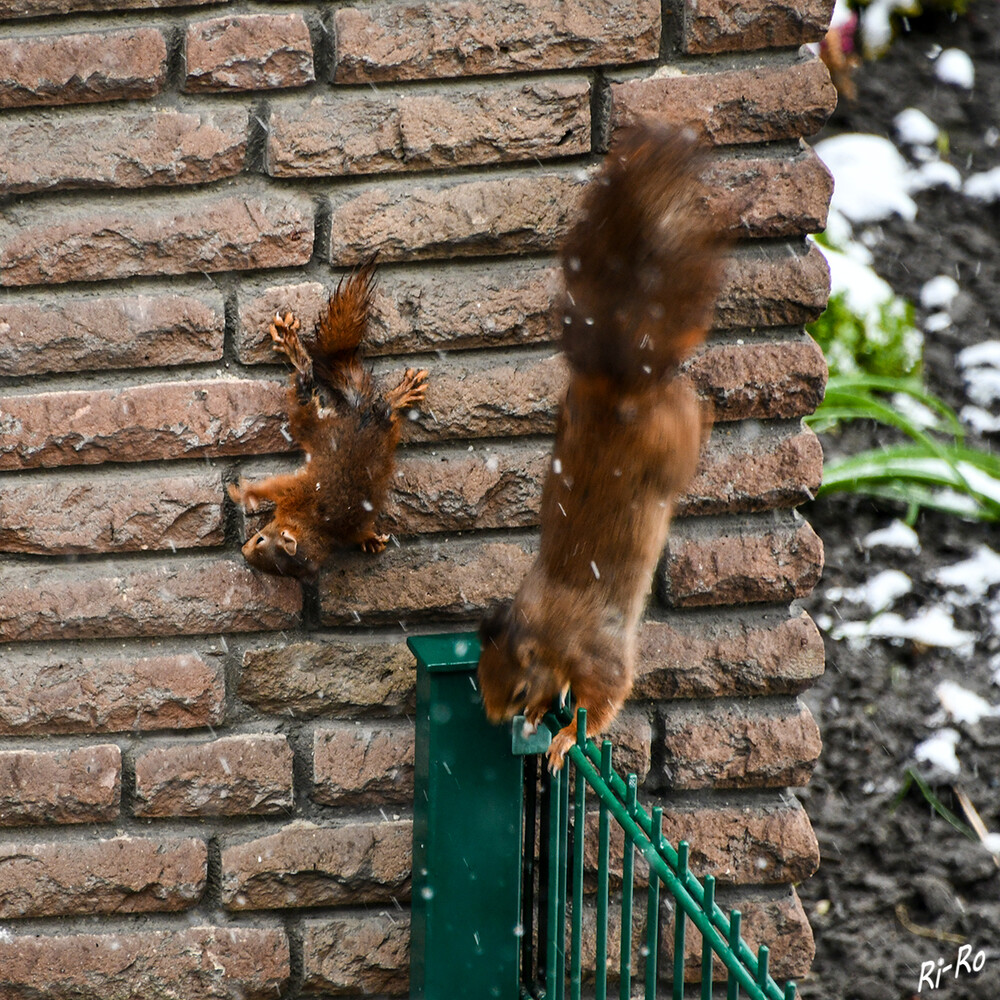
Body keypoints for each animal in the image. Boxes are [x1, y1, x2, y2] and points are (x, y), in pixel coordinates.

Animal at [229, 262, 428, 584]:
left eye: (260, 540)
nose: (244, 550)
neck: (316, 526)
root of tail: (362, 416)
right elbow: (362, 532)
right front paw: (371, 540)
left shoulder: (296, 491)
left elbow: (271, 487)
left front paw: (246, 493)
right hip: (382, 425)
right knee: (384, 406)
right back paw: (402, 394)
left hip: (311, 421)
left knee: (306, 383)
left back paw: (293, 346)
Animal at [478, 125, 728, 772]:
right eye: (481, 678)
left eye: (516, 687)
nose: (496, 718)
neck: (547, 628)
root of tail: (620, 384)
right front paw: (549, 722)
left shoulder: (598, 654)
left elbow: (605, 697)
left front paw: (566, 737)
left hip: (670, 444)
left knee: (687, 422)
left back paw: (709, 411)